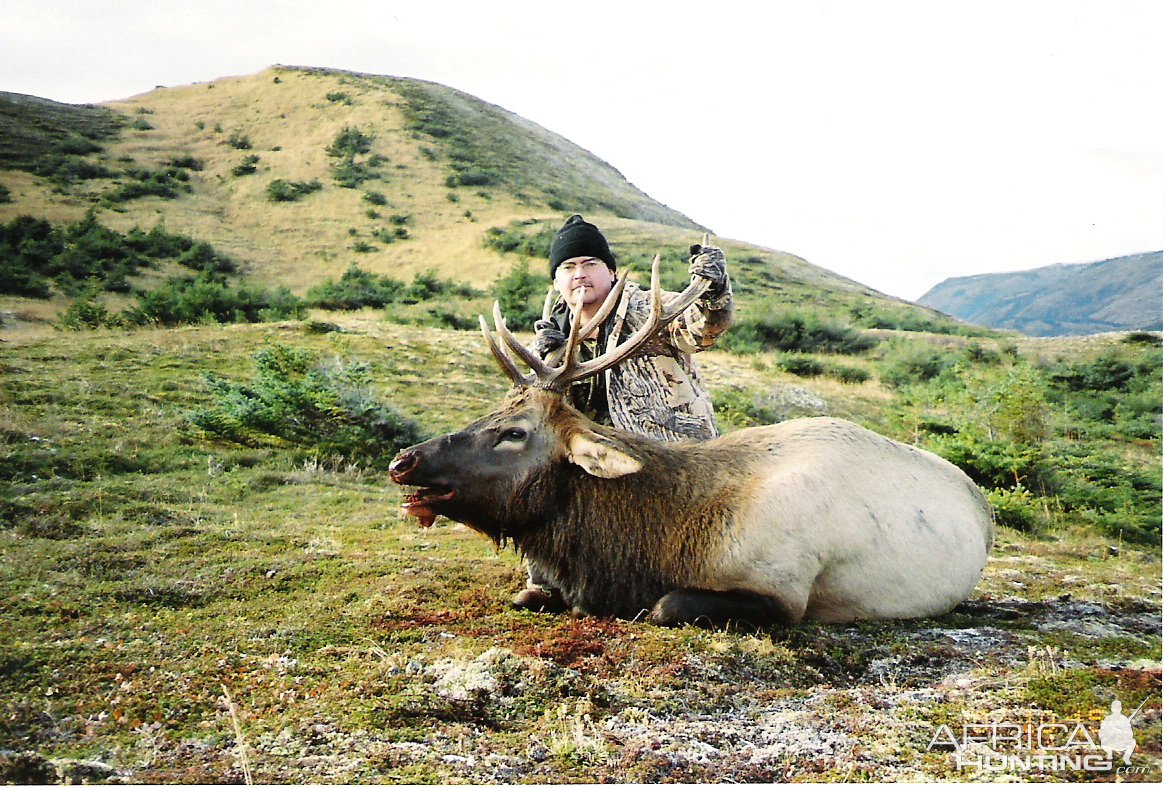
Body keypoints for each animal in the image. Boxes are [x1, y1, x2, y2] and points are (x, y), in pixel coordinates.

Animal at [388, 254, 991, 623]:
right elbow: (530, 593)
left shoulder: (784, 591)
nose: (403, 461)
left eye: (514, 432)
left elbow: (664, 606)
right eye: (490, 411)